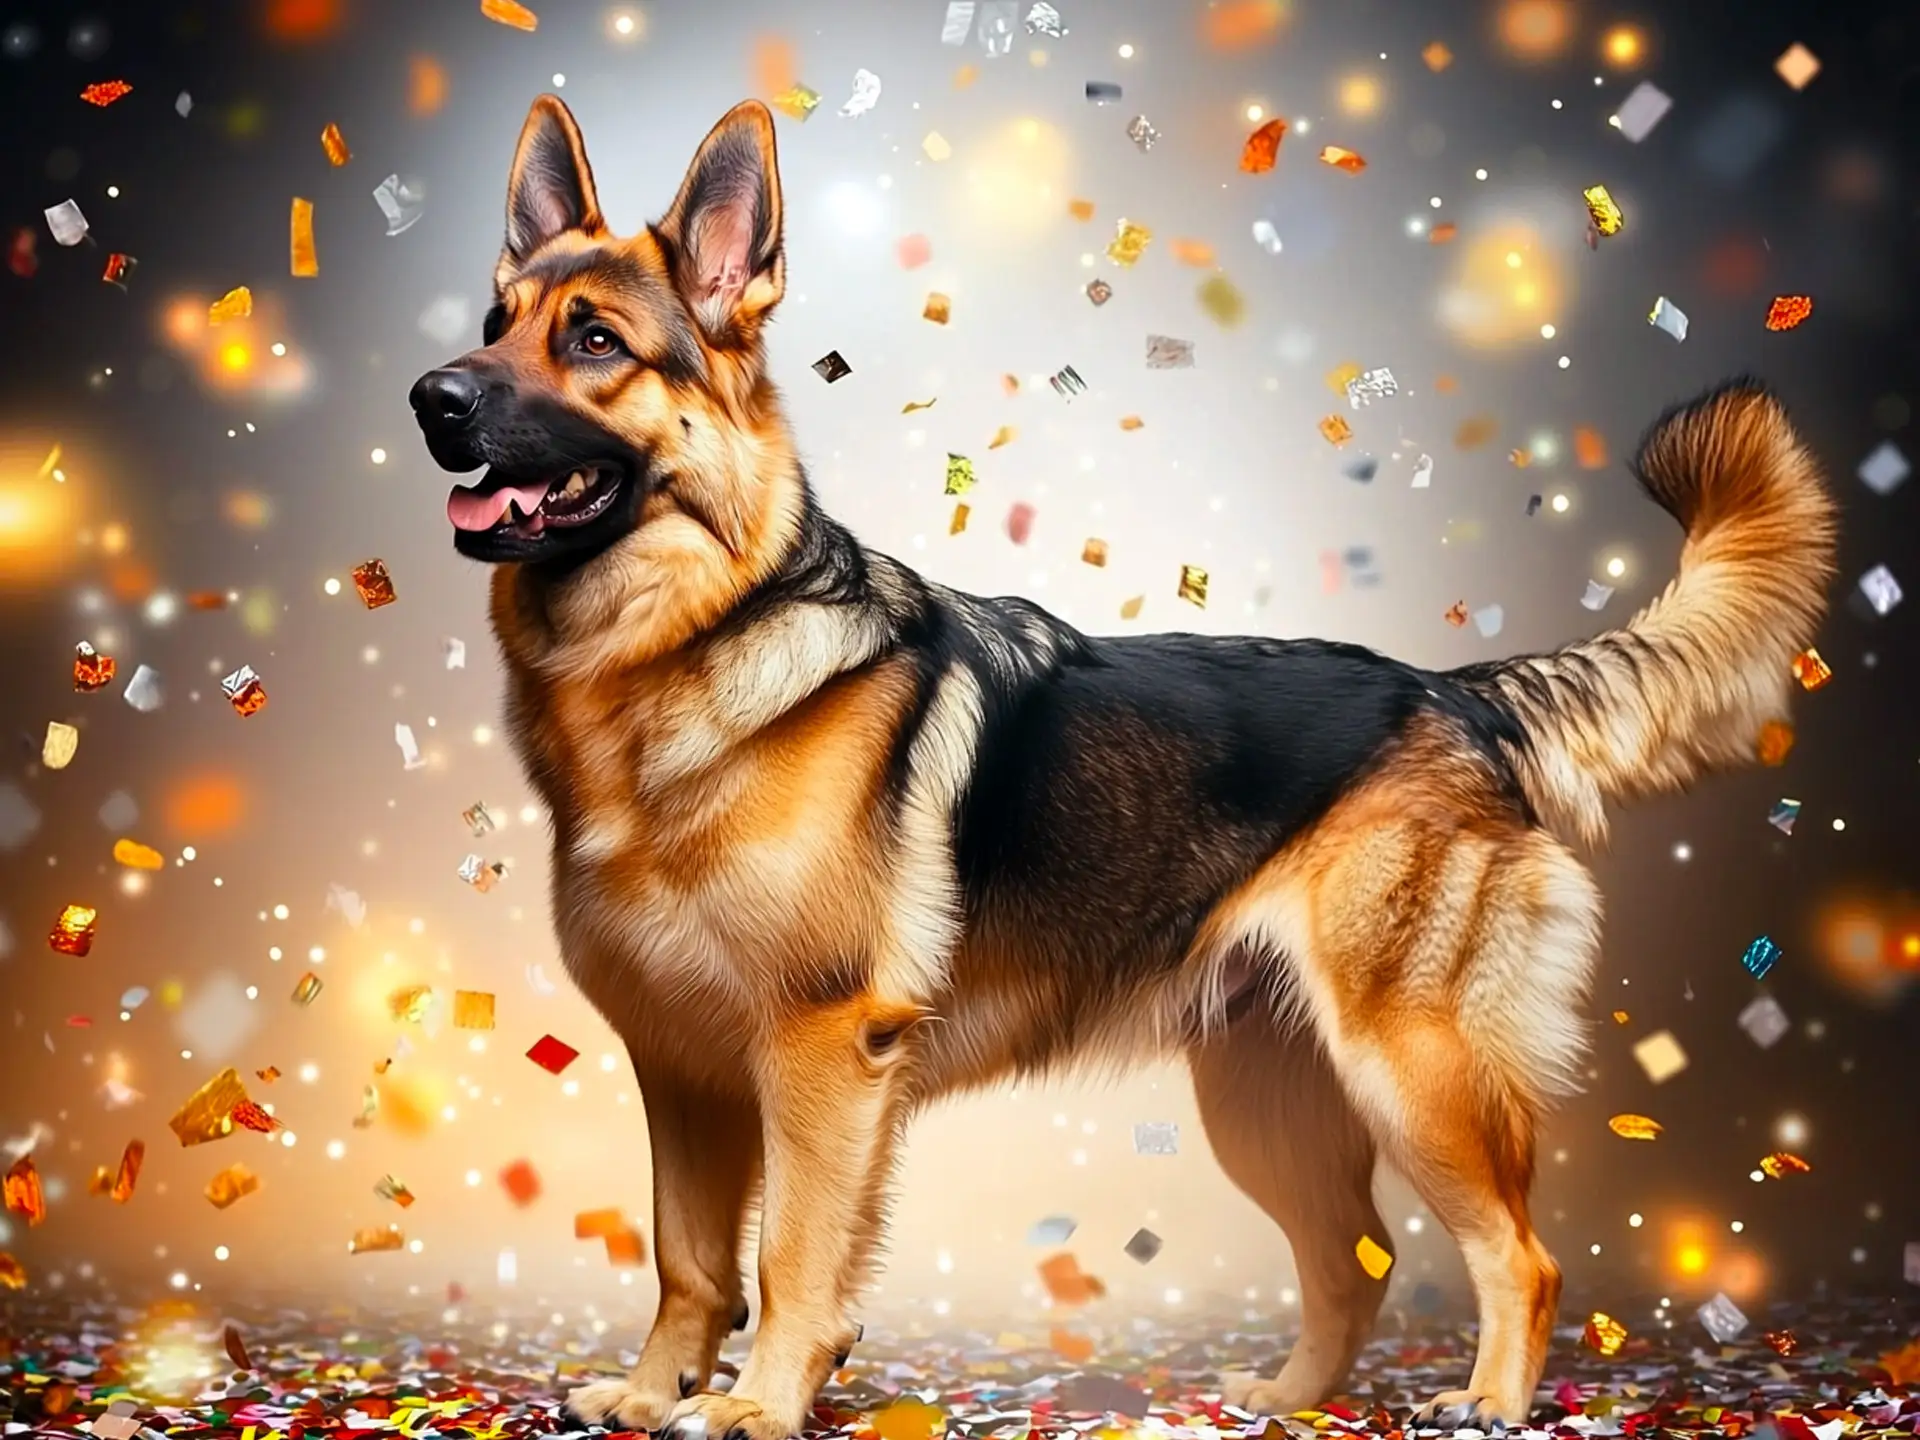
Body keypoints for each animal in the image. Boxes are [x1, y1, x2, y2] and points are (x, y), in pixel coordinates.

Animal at [412, 96, 1835, 1436]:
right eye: (496, 320)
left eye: (596, 342)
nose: (435, 399)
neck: (688, 647)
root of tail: (1454, 695)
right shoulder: (683, 1074)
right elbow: (689, 1259)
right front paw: (655, 1394)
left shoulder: (820, 1059)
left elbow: (791, 1255)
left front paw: (755, 1405)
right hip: (1268, 1105)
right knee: (1352, 1264)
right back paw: (1287, 1401)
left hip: (1415, 1074)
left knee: (1523, 1258)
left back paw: (1487, 1401)